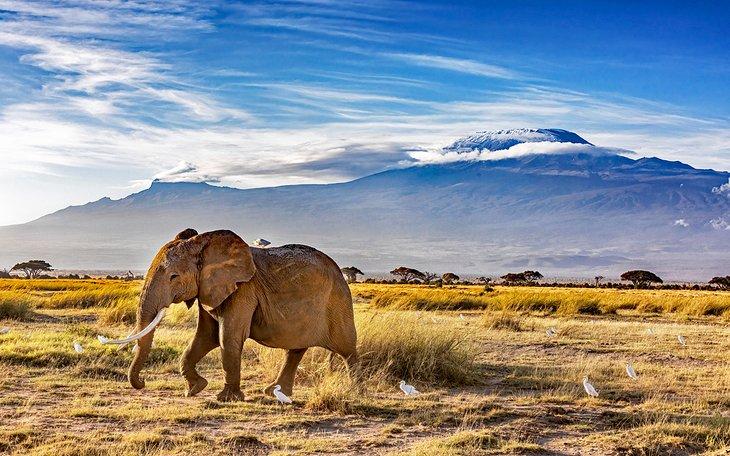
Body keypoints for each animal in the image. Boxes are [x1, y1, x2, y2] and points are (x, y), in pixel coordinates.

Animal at [108, 228, 357, 402]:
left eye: (174, 276)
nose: (143, 382)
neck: (205, 245)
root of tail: (340, 271)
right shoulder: (208, 290)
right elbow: (204, 337)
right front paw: (195, 389)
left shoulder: (242, 290)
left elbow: (227, 337)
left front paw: (226, 399)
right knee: (295, 349)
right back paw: (273, 392)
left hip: (338, 301)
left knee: (347, 349)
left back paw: (355, 390)